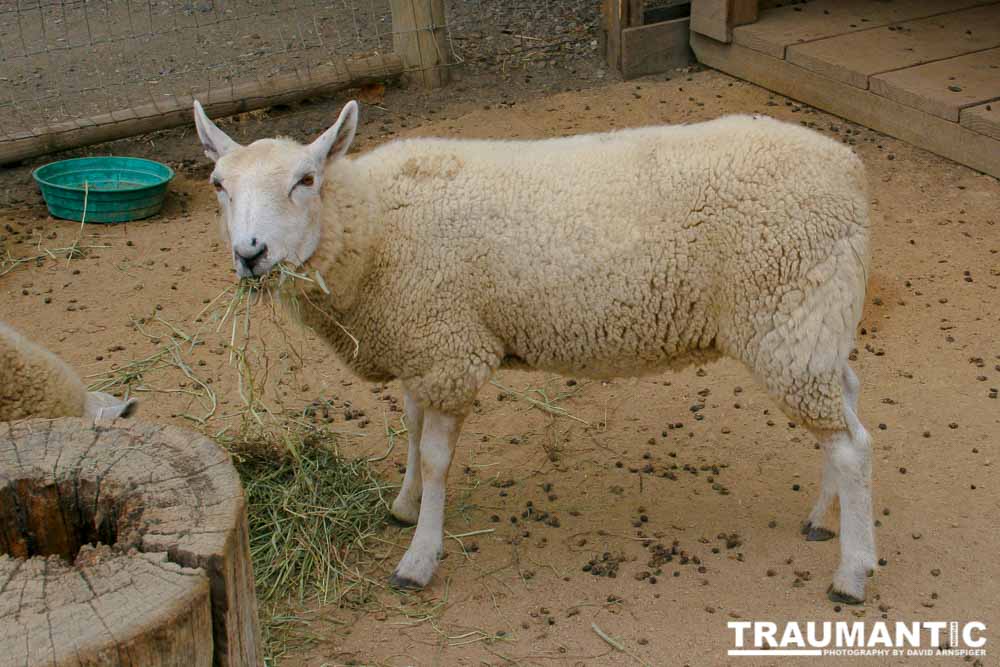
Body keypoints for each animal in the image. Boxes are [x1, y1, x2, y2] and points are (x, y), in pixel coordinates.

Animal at [193, 100, 876, 603]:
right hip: (817, 323)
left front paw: (419, 556)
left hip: (789, 319)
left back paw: (851, 573)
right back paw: (825, 519)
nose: (250, 254)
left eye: (305, 181)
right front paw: (405, 505)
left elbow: (436, 458)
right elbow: (410, 428)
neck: (376, 223)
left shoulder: (451, 347)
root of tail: (848, 168)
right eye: (218, 185)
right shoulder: (420, 340)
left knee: (849, 445)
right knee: (849, 420)